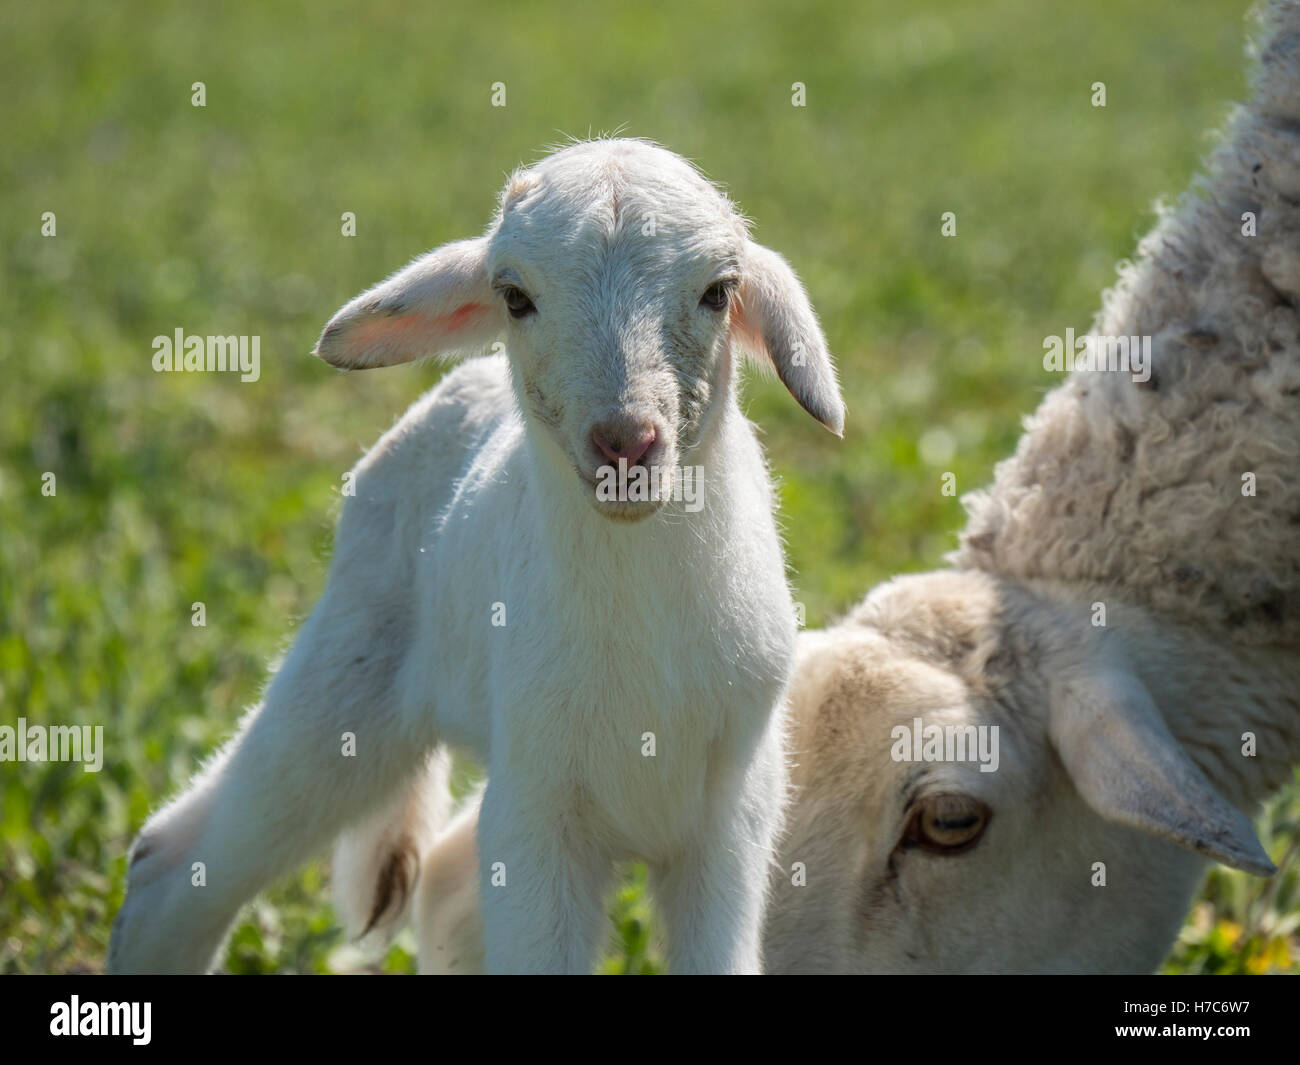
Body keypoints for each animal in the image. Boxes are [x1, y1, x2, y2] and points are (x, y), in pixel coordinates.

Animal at [107, 137, 845, 975]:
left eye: (719, 292)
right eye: (515, 297)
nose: (626, 444)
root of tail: (465, 381)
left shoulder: (730, 818)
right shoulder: (537, 809)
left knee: (443, 879)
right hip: (349, 674)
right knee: (178, 859)